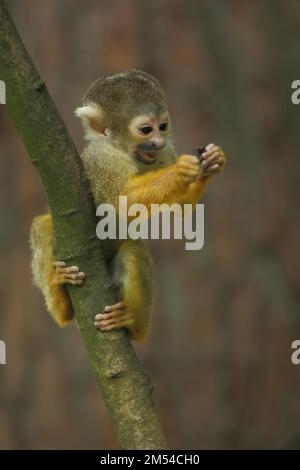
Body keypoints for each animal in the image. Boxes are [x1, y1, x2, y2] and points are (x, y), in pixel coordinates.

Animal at [29, 70, 225, 340]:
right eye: (146, 130)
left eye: (163, 126)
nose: (158, 142)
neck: (124, 151)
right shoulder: (102, 159)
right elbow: (121, 200)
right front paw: (180, 170)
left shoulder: (164, 153)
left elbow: (179, 208)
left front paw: (208, 165)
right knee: (43, 226)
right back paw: (61, 300)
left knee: (132, 247)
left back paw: (132, 324)